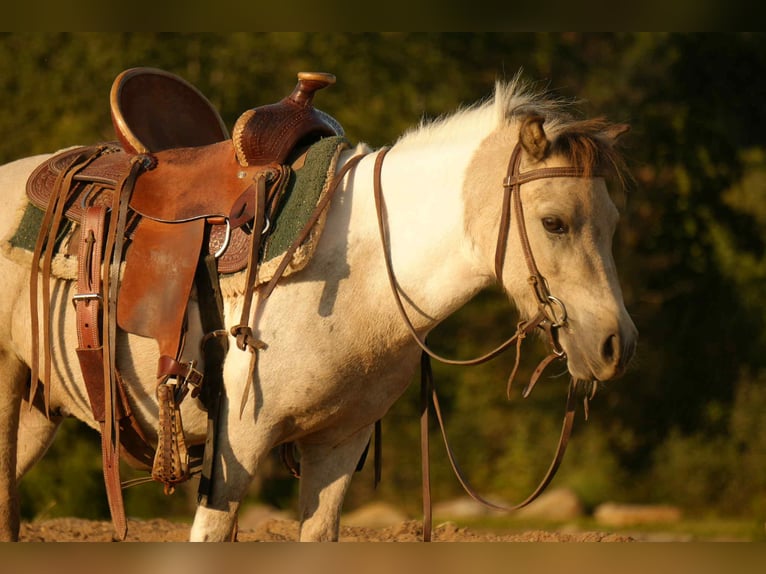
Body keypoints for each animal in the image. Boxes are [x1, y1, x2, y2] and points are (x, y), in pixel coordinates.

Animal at [0, 76, 637, 541]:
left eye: (611, 224)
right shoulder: (237, 447)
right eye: (553, 222)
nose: (617, 345)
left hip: (37, 408)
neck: (364, 275)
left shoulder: (338, 445)